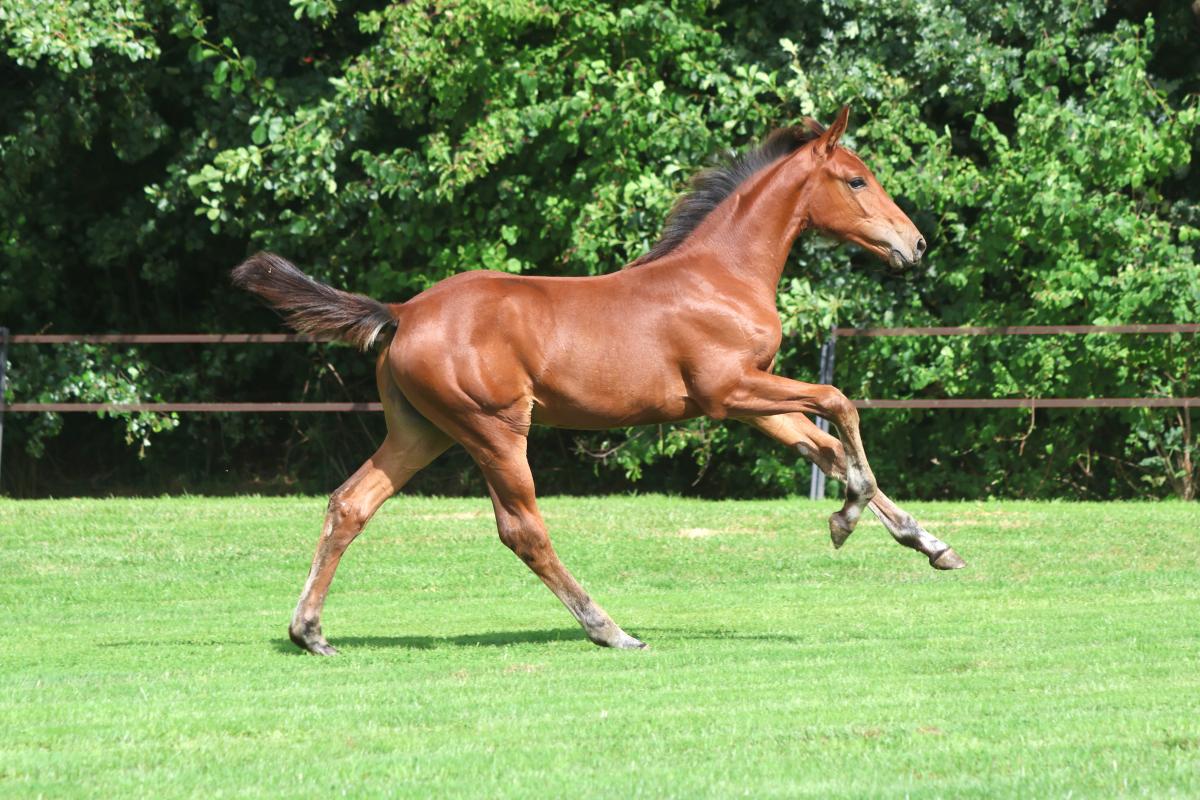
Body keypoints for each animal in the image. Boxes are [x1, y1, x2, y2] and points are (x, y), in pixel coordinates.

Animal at [233, 105, 965, 656]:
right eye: (857, 180)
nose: (916, 244)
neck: (721, 274)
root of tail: (404, 312)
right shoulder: (730, 390)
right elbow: (840, 409)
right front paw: (847, 518)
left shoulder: (748, 400)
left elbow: (827, 445)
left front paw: (929, 543)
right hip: (494, 430)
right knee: (522, 530)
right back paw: (610, 629)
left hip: (421, 432)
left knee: (350, 504)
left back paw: (310, 632)